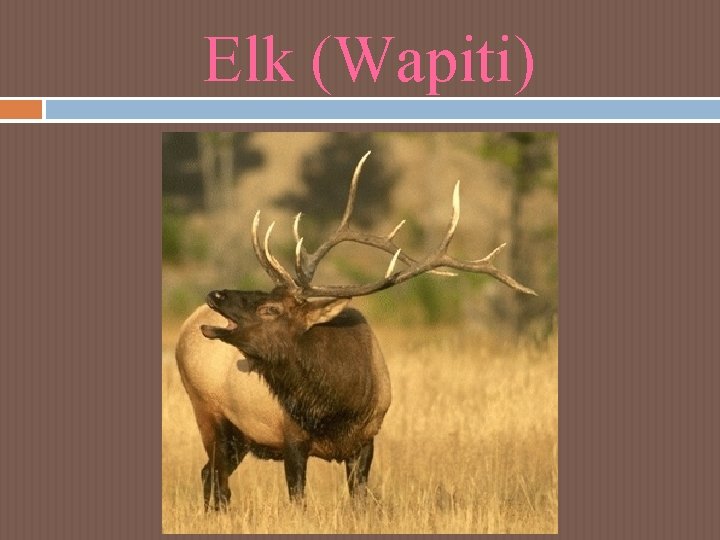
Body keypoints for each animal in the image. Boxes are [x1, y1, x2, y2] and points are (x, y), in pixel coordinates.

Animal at [175, 151, 536, 511]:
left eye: (271, 308)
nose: (215, 295)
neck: (334, 405)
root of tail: (185, 329)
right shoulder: (291, 437)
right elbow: (298, 500)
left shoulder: (367, 439)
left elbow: (359, 501)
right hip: (208, 413)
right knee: (217, 479)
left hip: (239, 437)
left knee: (209, 474)